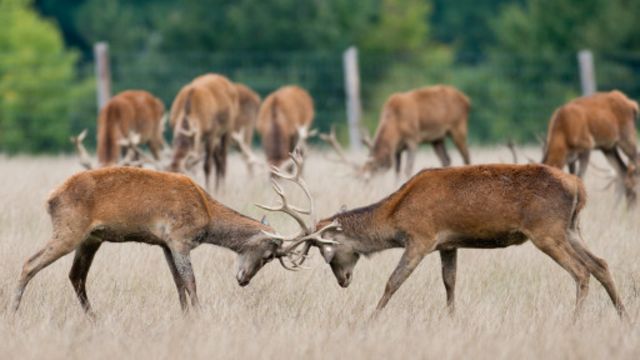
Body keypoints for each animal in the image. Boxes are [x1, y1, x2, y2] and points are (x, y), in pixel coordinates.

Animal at [10, 167, 300, 314]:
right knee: (29, 263)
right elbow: (190, 282)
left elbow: (178, 283)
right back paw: (13, 311)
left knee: (76, 275)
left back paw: (93, 317)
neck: (207, 214)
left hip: (91, 238)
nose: (244, 280)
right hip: (69, 230)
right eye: (268, 255)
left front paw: (185, 317)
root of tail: (50, 198)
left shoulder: (165, 243)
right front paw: (199, 316)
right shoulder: (180, 237)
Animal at [274, 162, 624, 318]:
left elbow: (393, 281)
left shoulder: (421, 237)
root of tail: (578, 186)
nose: (343, 281)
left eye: (325, 249)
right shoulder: (448, 244)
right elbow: (450, 282)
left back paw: (575, 320)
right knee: (602, 264)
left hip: (546, 230)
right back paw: (623, 314)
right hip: (571, 228)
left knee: (581, 271)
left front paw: (371, 319)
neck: (395, 216)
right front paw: (452, 318)